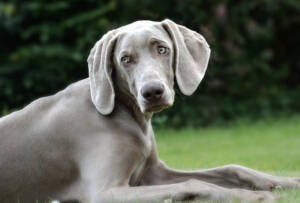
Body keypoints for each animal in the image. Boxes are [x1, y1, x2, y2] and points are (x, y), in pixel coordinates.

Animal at [0, 19, 300, 203]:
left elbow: (235, 168)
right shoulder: (106, 191)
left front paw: (288, 181)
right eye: (125, 59)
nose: (152, 92)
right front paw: (254, 196)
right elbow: (192, 184)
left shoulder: (154, 172)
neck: (128, 115)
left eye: (162, 49)